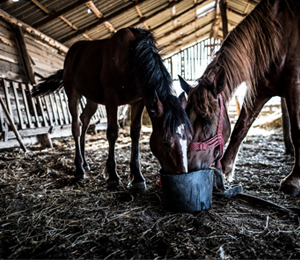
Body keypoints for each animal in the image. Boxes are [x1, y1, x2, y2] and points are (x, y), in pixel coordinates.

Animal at [31, 27, 191, 191]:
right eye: (165, 142)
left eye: (190, 138)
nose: (181, 173)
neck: (132, 57)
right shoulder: (111, 98)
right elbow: (113, 132)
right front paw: (113, 176)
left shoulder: (138, 101)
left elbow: (135, 133)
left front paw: (137, 177)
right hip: (72, 92)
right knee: (76, 126)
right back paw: (79, 169)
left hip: (92, 98)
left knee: (84, 120)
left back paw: (85, 163)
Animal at [180, 0, 300, 195]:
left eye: (207, 122)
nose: (189, 166)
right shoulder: (261, 91)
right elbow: (240, 128)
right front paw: (225, 169)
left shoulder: (294, 86)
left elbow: (296, 131)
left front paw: (294, 180)